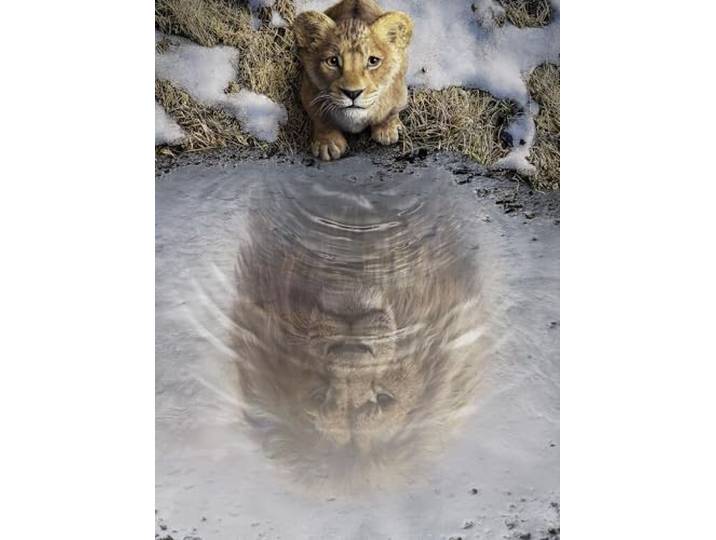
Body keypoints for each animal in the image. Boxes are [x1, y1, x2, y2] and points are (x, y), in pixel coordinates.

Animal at [293, 0, 414, 161]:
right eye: (332, 61)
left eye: (373, 61)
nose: (352, 93)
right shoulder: (309, 92)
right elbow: (320, 118)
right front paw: (328, 144)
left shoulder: (400, 93)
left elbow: (390, 113)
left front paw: (387, 131)